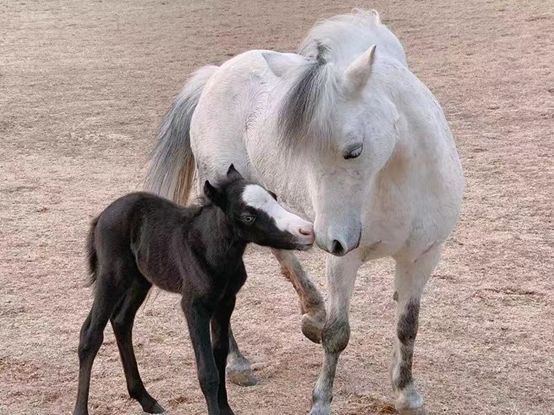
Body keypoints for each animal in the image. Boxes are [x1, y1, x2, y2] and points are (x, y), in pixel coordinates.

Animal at [73, 166, 312, 415]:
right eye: (248, 216)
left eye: (274, 197)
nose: (307, 231)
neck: (210, 250)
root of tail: (102, 215)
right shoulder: (194, 305)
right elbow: (207, 371)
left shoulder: (226, 301)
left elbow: (219, 354)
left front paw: (226, 409)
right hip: (112, 276)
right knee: (90, 335)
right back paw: (82, 409)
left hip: (140, 279)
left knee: (121, 321)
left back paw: (146, 399)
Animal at [143, 9, 462, 415]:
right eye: (300, 154)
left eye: (353, 151)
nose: (329, 240)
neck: (397, 183)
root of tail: (216, 75)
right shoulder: (344, 260)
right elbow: (338, 334)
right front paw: (321, 400)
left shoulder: (422, 257)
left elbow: (408, 326)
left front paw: (407, 393)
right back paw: (239, 361)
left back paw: (312, 311)